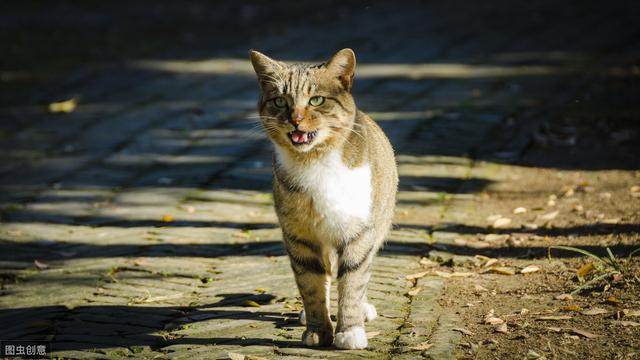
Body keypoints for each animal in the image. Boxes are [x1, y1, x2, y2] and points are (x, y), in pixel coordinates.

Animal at [249, 47, 396, 348]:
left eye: (316, 100)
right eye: (280, 101)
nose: (295, 119)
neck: (314, 162)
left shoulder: (358, 231)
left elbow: (353, 281)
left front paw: (350, 331)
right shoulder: (299, 236)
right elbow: (311, 283)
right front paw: (318, 329)